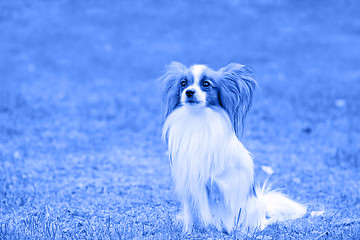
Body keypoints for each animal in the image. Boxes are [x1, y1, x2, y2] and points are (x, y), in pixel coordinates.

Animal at [160, 62, 306, 234]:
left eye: (206, 84)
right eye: (183, 83)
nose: (189, 92)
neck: (198, 118)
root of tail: (262, 215)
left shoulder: (224, 185)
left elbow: (225, 211)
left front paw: (226, 230)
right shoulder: (188, 182)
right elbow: (191, 212)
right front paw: (187, 232)